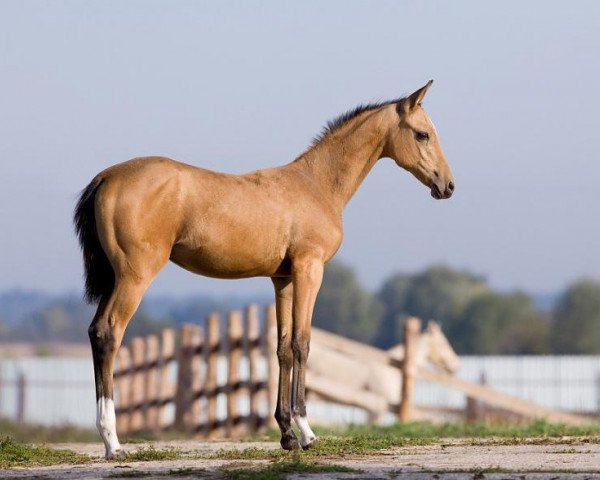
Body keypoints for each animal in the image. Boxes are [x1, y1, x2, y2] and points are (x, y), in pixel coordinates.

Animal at [72, 80, 452, 460]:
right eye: (422, 134)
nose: (447, 185)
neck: (317, 185)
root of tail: (106, 177)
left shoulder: (282, 279)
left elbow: (282, 347)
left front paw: (286, 434)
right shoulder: (309, 269)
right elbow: (302, 343)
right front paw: (306, 432)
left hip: (115, 278)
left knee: (95, 331)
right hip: (135, 276)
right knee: (109, 333)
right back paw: (113, 442)